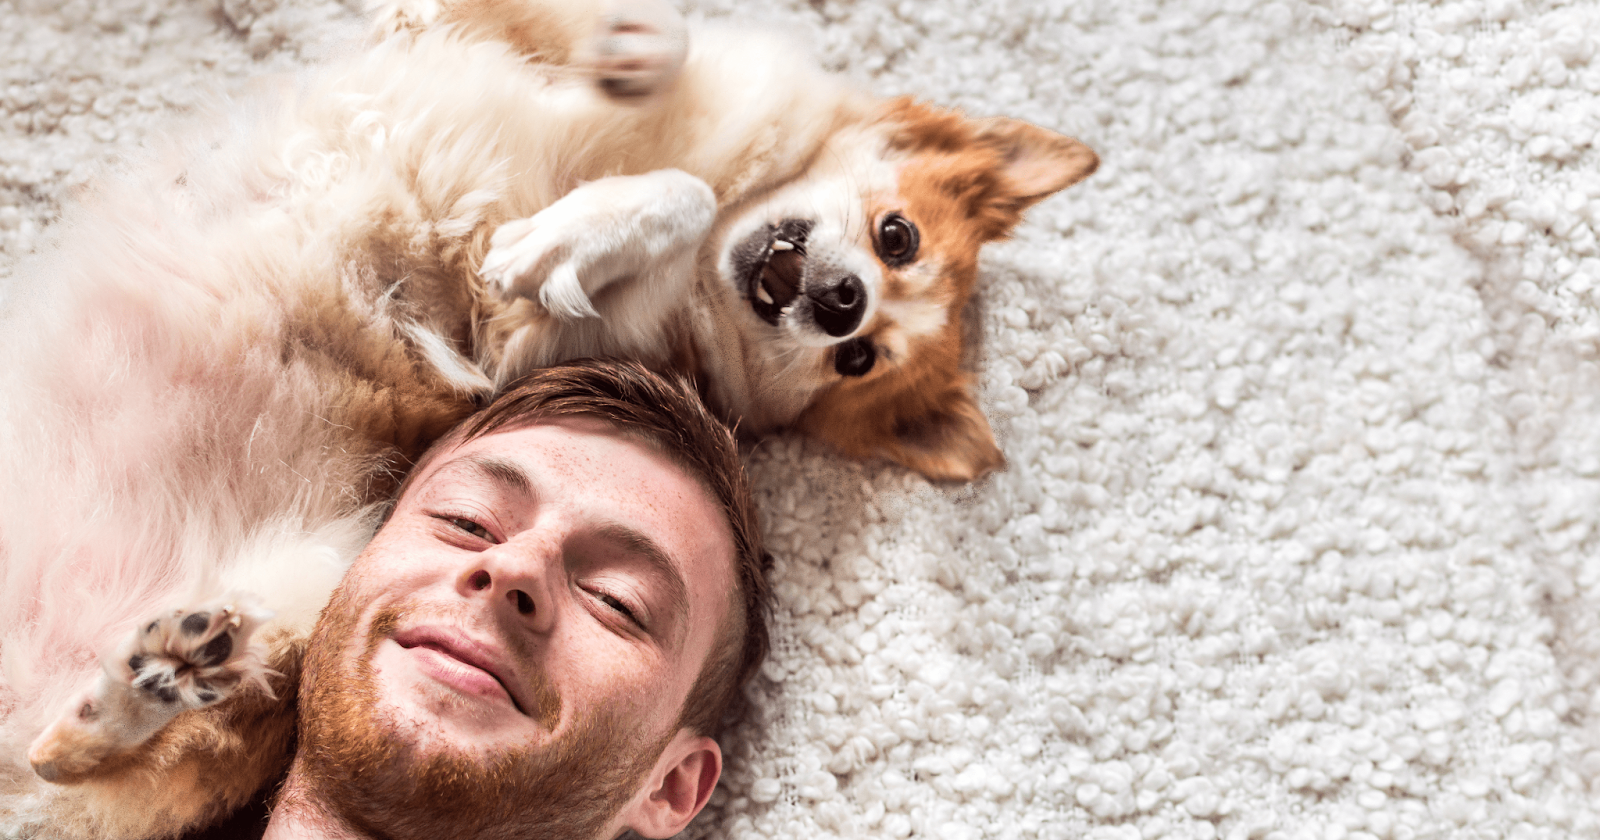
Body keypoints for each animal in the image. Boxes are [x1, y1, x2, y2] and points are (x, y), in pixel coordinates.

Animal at [0, 0, 1100, 832]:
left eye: (858, 360)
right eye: (896, 237)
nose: (843, 304)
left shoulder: (530, 348)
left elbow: (668, 203)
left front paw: (571, 232)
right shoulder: (467, 27)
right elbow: (653, 69)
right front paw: (635, 56)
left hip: (311, 594)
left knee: (86, 754)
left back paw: (154, 681)